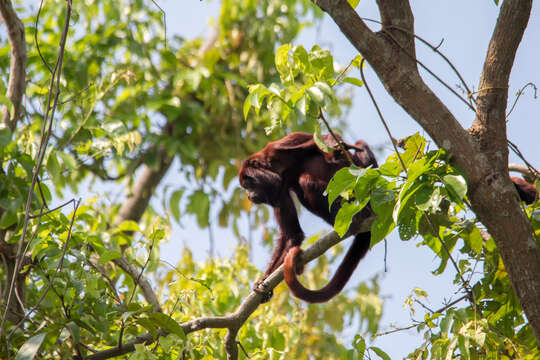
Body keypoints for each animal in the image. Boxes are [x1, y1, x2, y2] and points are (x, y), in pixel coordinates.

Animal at [238, 132, 378, 304]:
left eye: (248, 184)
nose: (249, 196)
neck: (274, 168)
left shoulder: (279, 147)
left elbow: (325, 138)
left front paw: (335, 148)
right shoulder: (279, 192)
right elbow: (292, 235)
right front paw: (264, 280)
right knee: (303, 186)